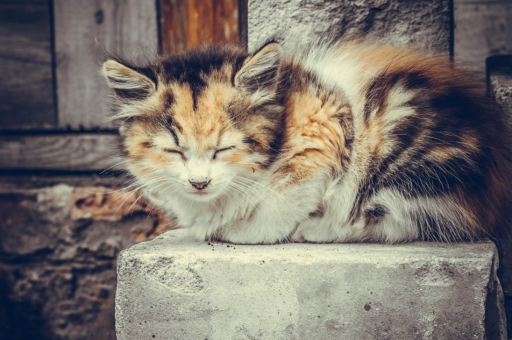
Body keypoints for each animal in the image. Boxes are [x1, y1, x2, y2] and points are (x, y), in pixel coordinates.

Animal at [101, 37, 512, 244]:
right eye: (174, 150)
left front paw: (243, 231)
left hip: (401, 146)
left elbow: (286, 198)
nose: (199, 182)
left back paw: (320, 230)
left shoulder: (326, 130)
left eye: (224, 149)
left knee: (401, 222)